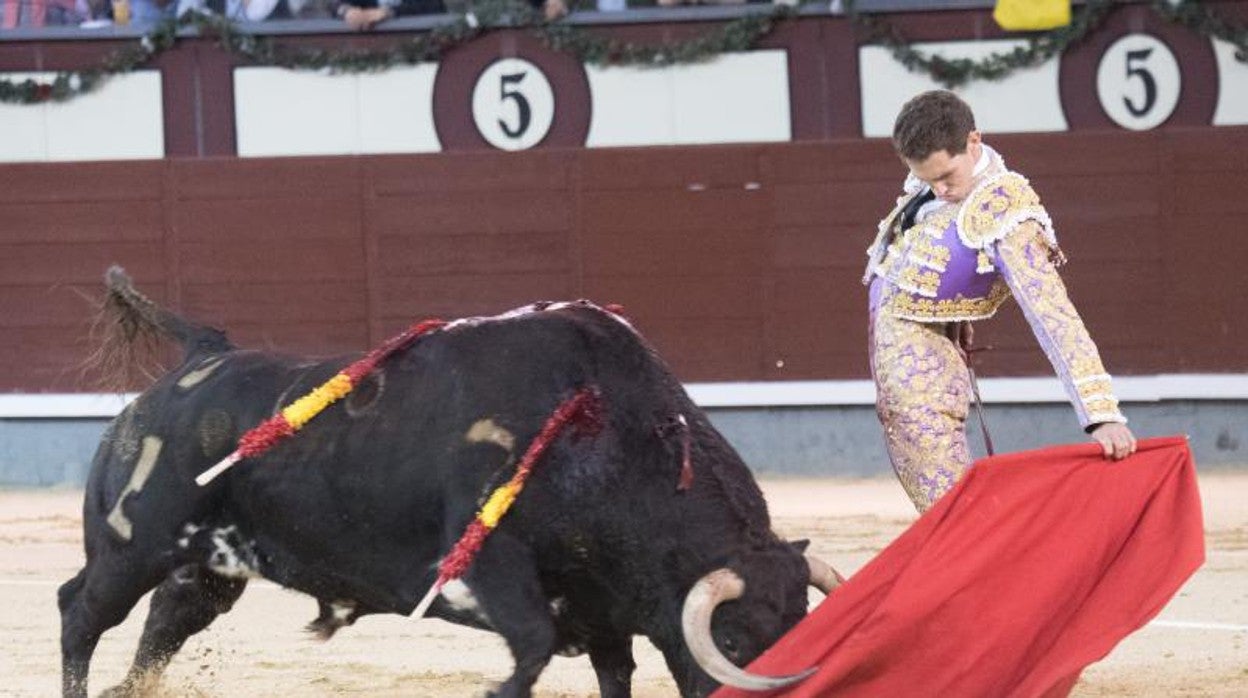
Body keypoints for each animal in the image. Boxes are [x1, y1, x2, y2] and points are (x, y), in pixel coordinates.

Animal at [58, 268, 838, 698]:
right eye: (732, 637)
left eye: (800, 625)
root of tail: (202, 355)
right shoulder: (490, 564)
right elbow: (531, 648)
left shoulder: (602, 608)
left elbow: (612, 672)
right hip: (132, 546)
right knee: (80, 612)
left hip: (208, 565)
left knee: (166, 619)